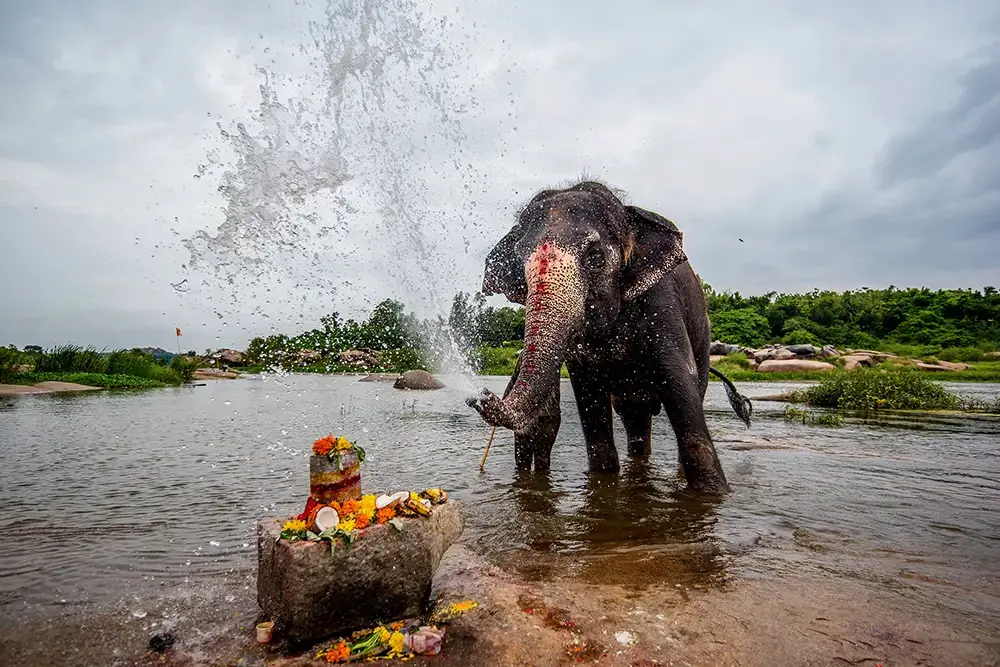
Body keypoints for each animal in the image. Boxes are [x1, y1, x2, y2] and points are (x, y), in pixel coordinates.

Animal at [468, 180, 752, 494]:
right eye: (520, 262)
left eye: (595, 258)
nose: (481, 395)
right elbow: (590, 400)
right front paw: (603, 483)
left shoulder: (663, 305)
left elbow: (680, 385)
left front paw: (712, 493)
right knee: (634, 420)